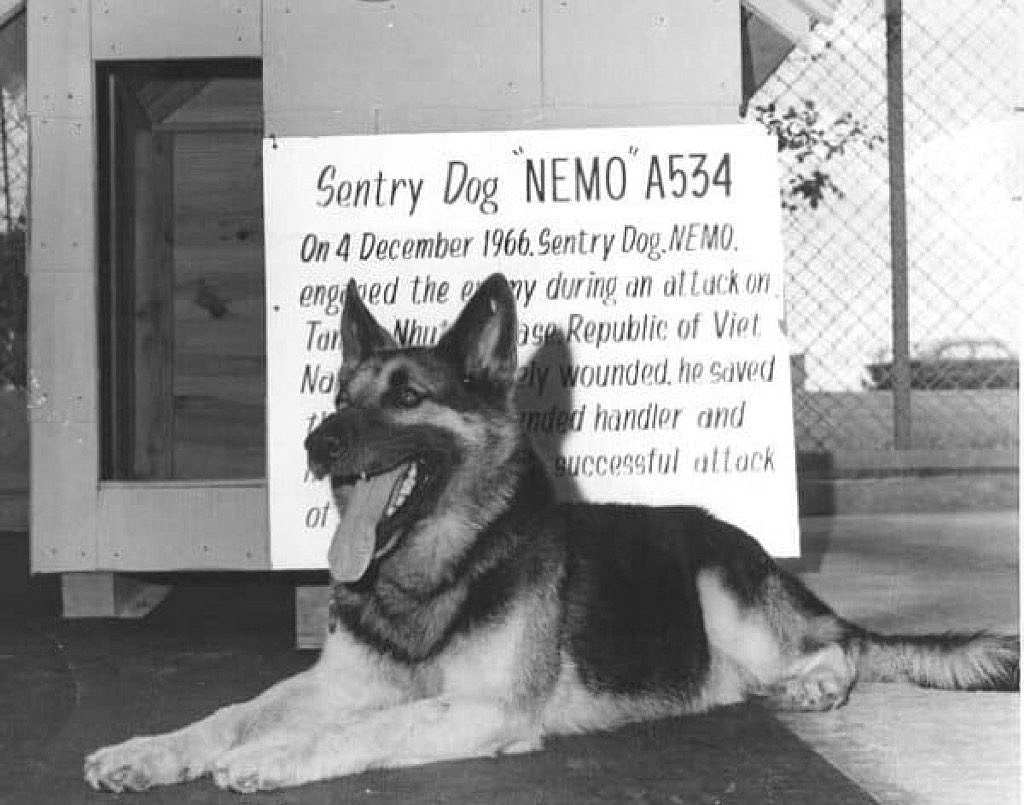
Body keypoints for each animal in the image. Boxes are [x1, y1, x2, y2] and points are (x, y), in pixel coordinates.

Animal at [86, 272, 1015, 786]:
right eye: (340, 394)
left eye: (407, 396)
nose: (317, 442)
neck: (440, 565)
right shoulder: (331, 683)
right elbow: (235, 710)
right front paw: (153, 750)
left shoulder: (485, 708)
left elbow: (363, 727)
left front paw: (272, 757)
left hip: (724, 585)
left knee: (841, 645)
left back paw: (816, 682)